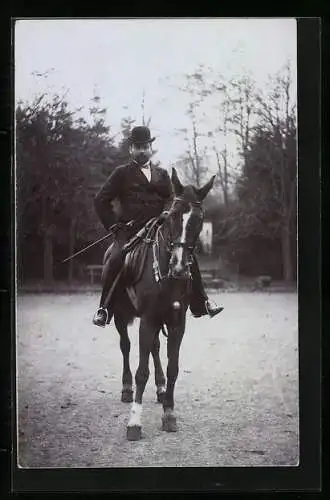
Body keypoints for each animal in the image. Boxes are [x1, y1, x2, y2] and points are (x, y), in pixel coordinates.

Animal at [109, 169, 215, 442]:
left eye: (200, 219)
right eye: (172, 216)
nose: (179, 266)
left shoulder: (176, 323)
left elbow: (173, 367)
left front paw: (169, 412)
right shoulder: (146, 320)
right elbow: (141, 371)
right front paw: (134, 422)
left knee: (155, 349)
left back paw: (160, 388)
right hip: (120, 315)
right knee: (125, 346)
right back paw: (127, 389)